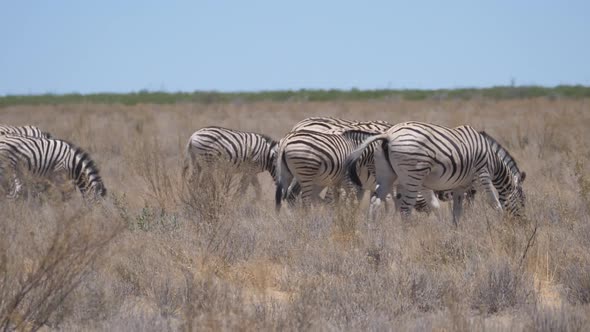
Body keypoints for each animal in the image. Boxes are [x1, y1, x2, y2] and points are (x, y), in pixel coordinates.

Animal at [344, 122, 528, 226]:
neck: (491, 158)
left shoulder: (460, 185)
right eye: (522, 200)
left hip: (386, 176)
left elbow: (457, 211)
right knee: (405, 209)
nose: (522, 224)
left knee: (375, 203)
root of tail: (388, 134)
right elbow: (494, 203)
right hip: (412, 176)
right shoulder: (482, 176)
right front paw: (501, 226)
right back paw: (406, 237)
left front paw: (455, 231)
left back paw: (372, 232)